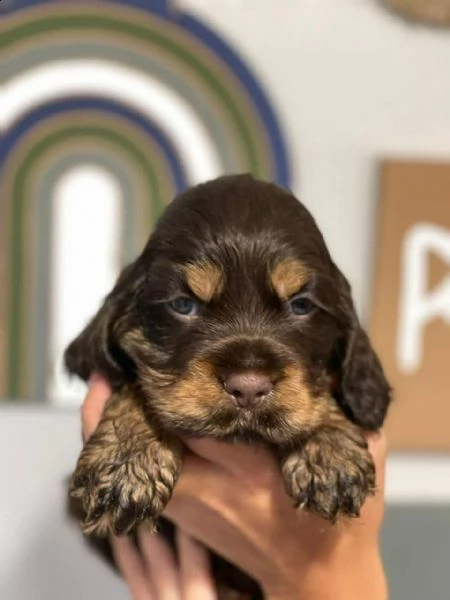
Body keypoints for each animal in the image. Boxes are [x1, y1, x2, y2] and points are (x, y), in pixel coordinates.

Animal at [65, 173, 392, 596]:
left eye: (301, 305)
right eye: (183, 305)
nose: (248, 387)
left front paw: (330, 453)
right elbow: (133, 385)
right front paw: (127, 462)